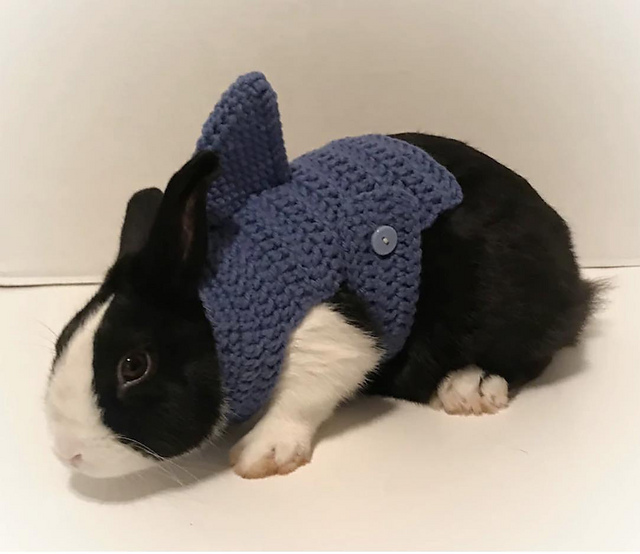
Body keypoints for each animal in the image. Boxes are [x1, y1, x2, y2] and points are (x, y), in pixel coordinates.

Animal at [45, 133, 600, 480]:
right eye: (62, 339)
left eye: (134, 365)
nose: (69, 455)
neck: (223, 309)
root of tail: (573, 272)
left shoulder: (330, 331)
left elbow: (303, 392)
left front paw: (263, 454)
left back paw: (470, 387)